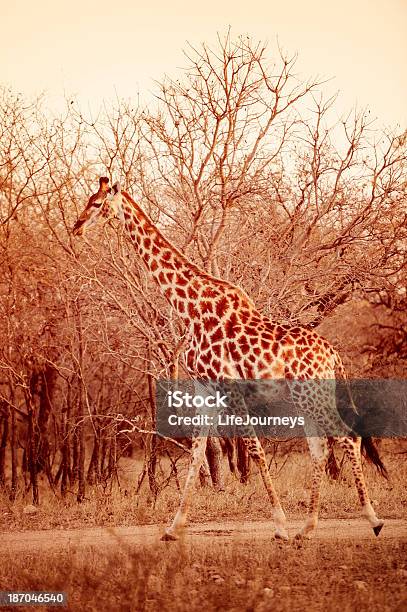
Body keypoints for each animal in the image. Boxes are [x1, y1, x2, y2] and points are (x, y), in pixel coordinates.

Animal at [73, 177, 388, 540]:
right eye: (89, 200)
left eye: (97, 204)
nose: (76, 226)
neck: (191, 308)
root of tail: (334, 354)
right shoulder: (205, 389)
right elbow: (198, 454)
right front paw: (173, 528)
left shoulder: (230, 387)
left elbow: (253, 449)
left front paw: (279, 525)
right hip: (305, 398)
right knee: (320, 448)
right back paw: (307, 528)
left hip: (312, 395)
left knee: (347, 437)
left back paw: (373, 520)